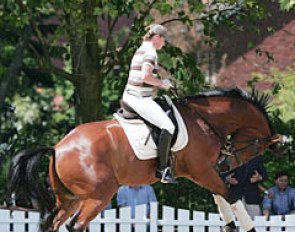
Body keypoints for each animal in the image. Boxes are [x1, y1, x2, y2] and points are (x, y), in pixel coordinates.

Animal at [5, 88, 280, 231]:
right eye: (256, 148)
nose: (226, 164)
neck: (204, 119)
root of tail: (57, 148)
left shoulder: (204, 173)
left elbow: (221, 197)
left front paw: (230, 225)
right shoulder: (203, 170)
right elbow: (230, 196)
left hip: (70, 198)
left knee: (53, 223)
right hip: (99, 196)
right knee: (76, 225)